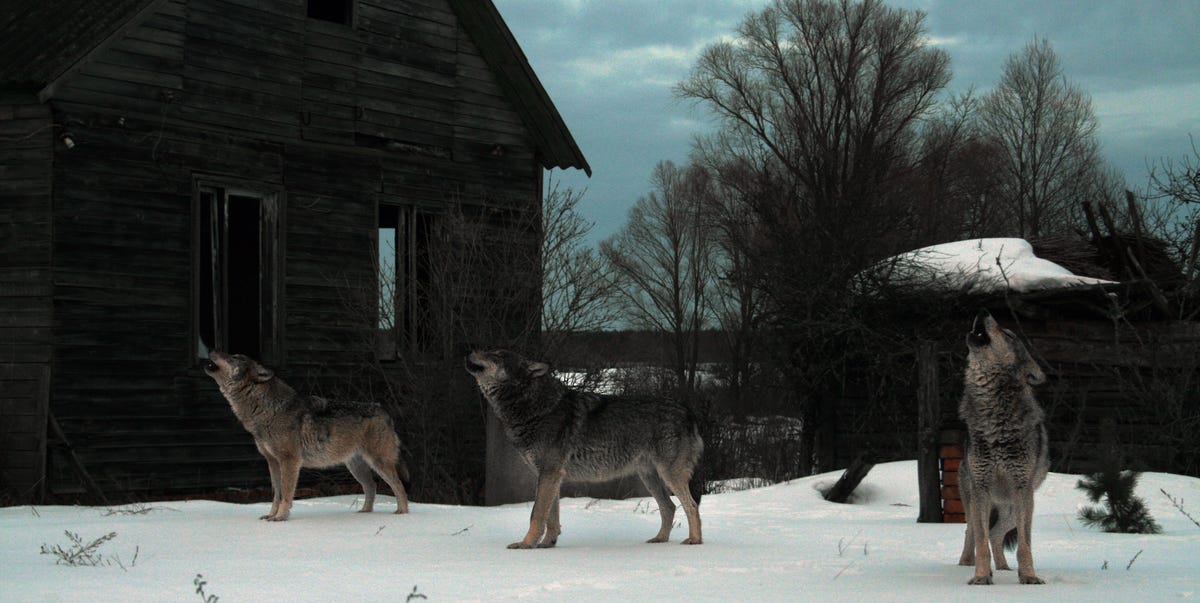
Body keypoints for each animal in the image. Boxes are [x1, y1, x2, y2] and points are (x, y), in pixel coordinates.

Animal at [204, 351, 410, 521]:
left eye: (234, 357)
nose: (212, 350)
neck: (267, 409)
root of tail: (384, 411)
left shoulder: (290, 460)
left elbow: (286, 494)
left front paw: (281, 517)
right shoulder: (272, 461)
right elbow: (276, 494)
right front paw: (271, 515)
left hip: (379, 463)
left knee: (399, 486)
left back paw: (401, 514)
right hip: (356, 467)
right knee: (372, 486)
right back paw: (365, 513)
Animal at [464, 349, 704, 548]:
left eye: (497, 355)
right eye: (490, 350)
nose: (471, 350)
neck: (535, 407)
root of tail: (688, 411)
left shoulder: (549, 473)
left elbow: (536, 514)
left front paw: (526, 544)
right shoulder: (551, 476)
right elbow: (551, 517)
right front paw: (547, 544)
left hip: (669, 475)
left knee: (691, 506)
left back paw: (694, 540)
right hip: (649, 477)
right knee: (669, 507)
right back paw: (659, 539)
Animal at [956, 310, 1049, 585]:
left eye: (1007, 334)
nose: (983, 311)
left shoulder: (1022, 489)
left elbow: (1025, 545)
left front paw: (1028, 576)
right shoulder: (982, 488)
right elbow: (981, 541)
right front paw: (980, 577)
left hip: (1012, 509)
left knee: (997, 534)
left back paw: (1005, 568)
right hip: (976, 501)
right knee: (972, 532)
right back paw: (967, 564)